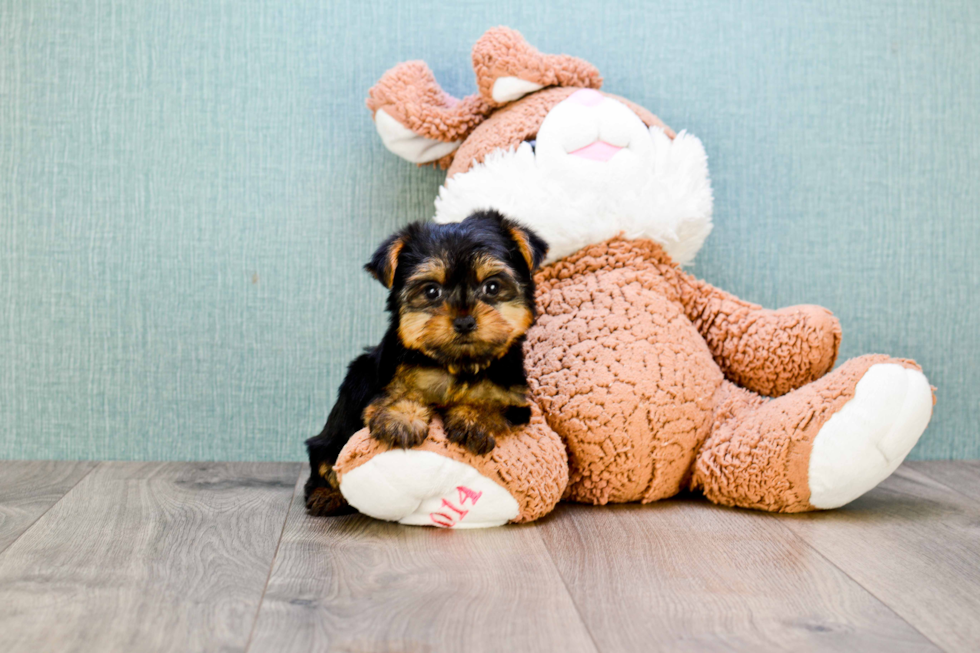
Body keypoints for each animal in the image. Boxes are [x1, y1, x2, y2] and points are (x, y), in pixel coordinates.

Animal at [304, 211, 548, 516]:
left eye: (492, 287)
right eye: (432, 291)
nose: (464, 321)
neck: (458, 365)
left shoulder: (513, 398)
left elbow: (492, 403)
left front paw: (473, 418)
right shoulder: (388, 378)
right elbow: (396, 394)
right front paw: (402, 420)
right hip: (337, 421)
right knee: (325, 459)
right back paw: (326, 495)